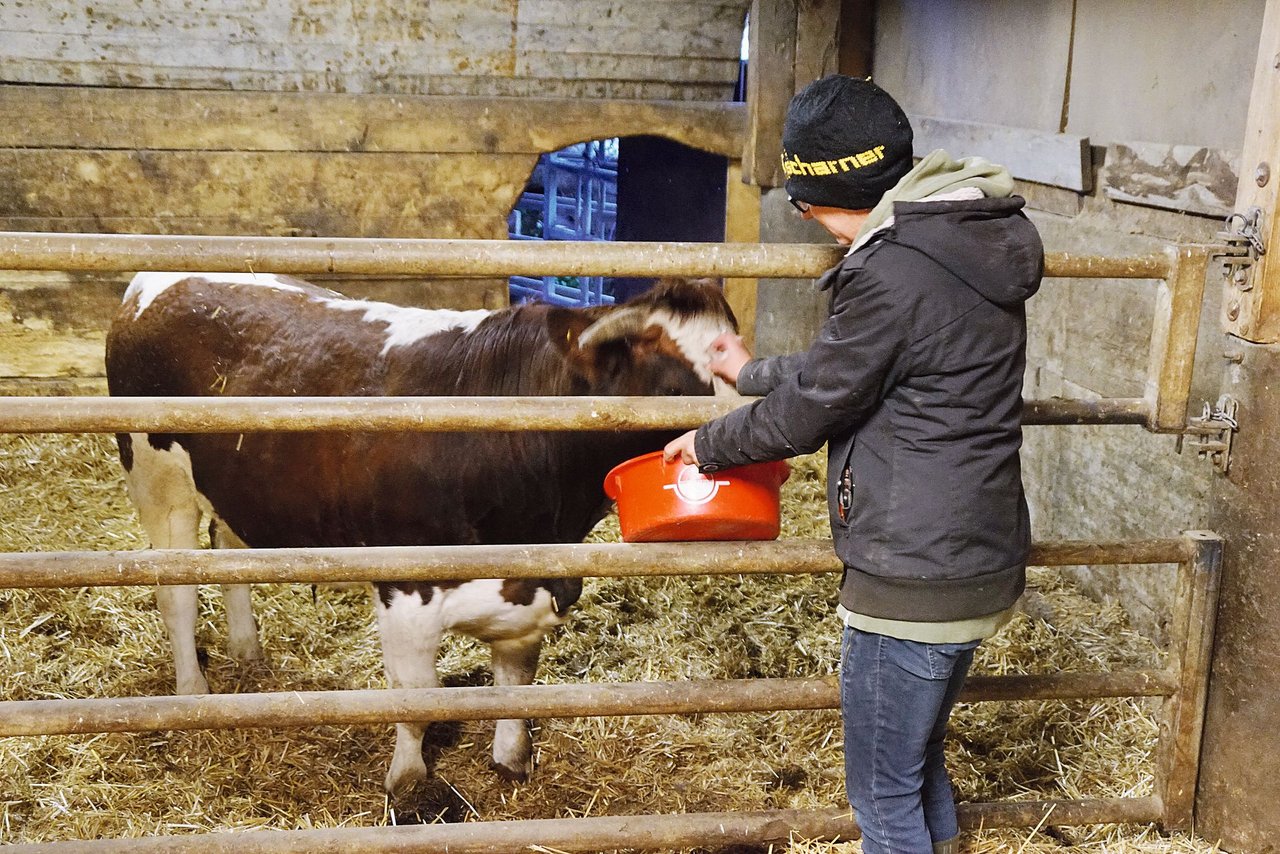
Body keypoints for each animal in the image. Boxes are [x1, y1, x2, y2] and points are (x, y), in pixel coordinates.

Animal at [107, 273, 742, 793]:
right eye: (677, 384)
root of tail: (151, 284)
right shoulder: (405, 585)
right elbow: (416, 697)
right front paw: (408, 783)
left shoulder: (533, 582)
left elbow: (517, 682)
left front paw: (512, 762)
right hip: (159, 485)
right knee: (178, 595)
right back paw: (193, 693)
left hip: (236, 488)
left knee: (230, 555)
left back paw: (248, 654)